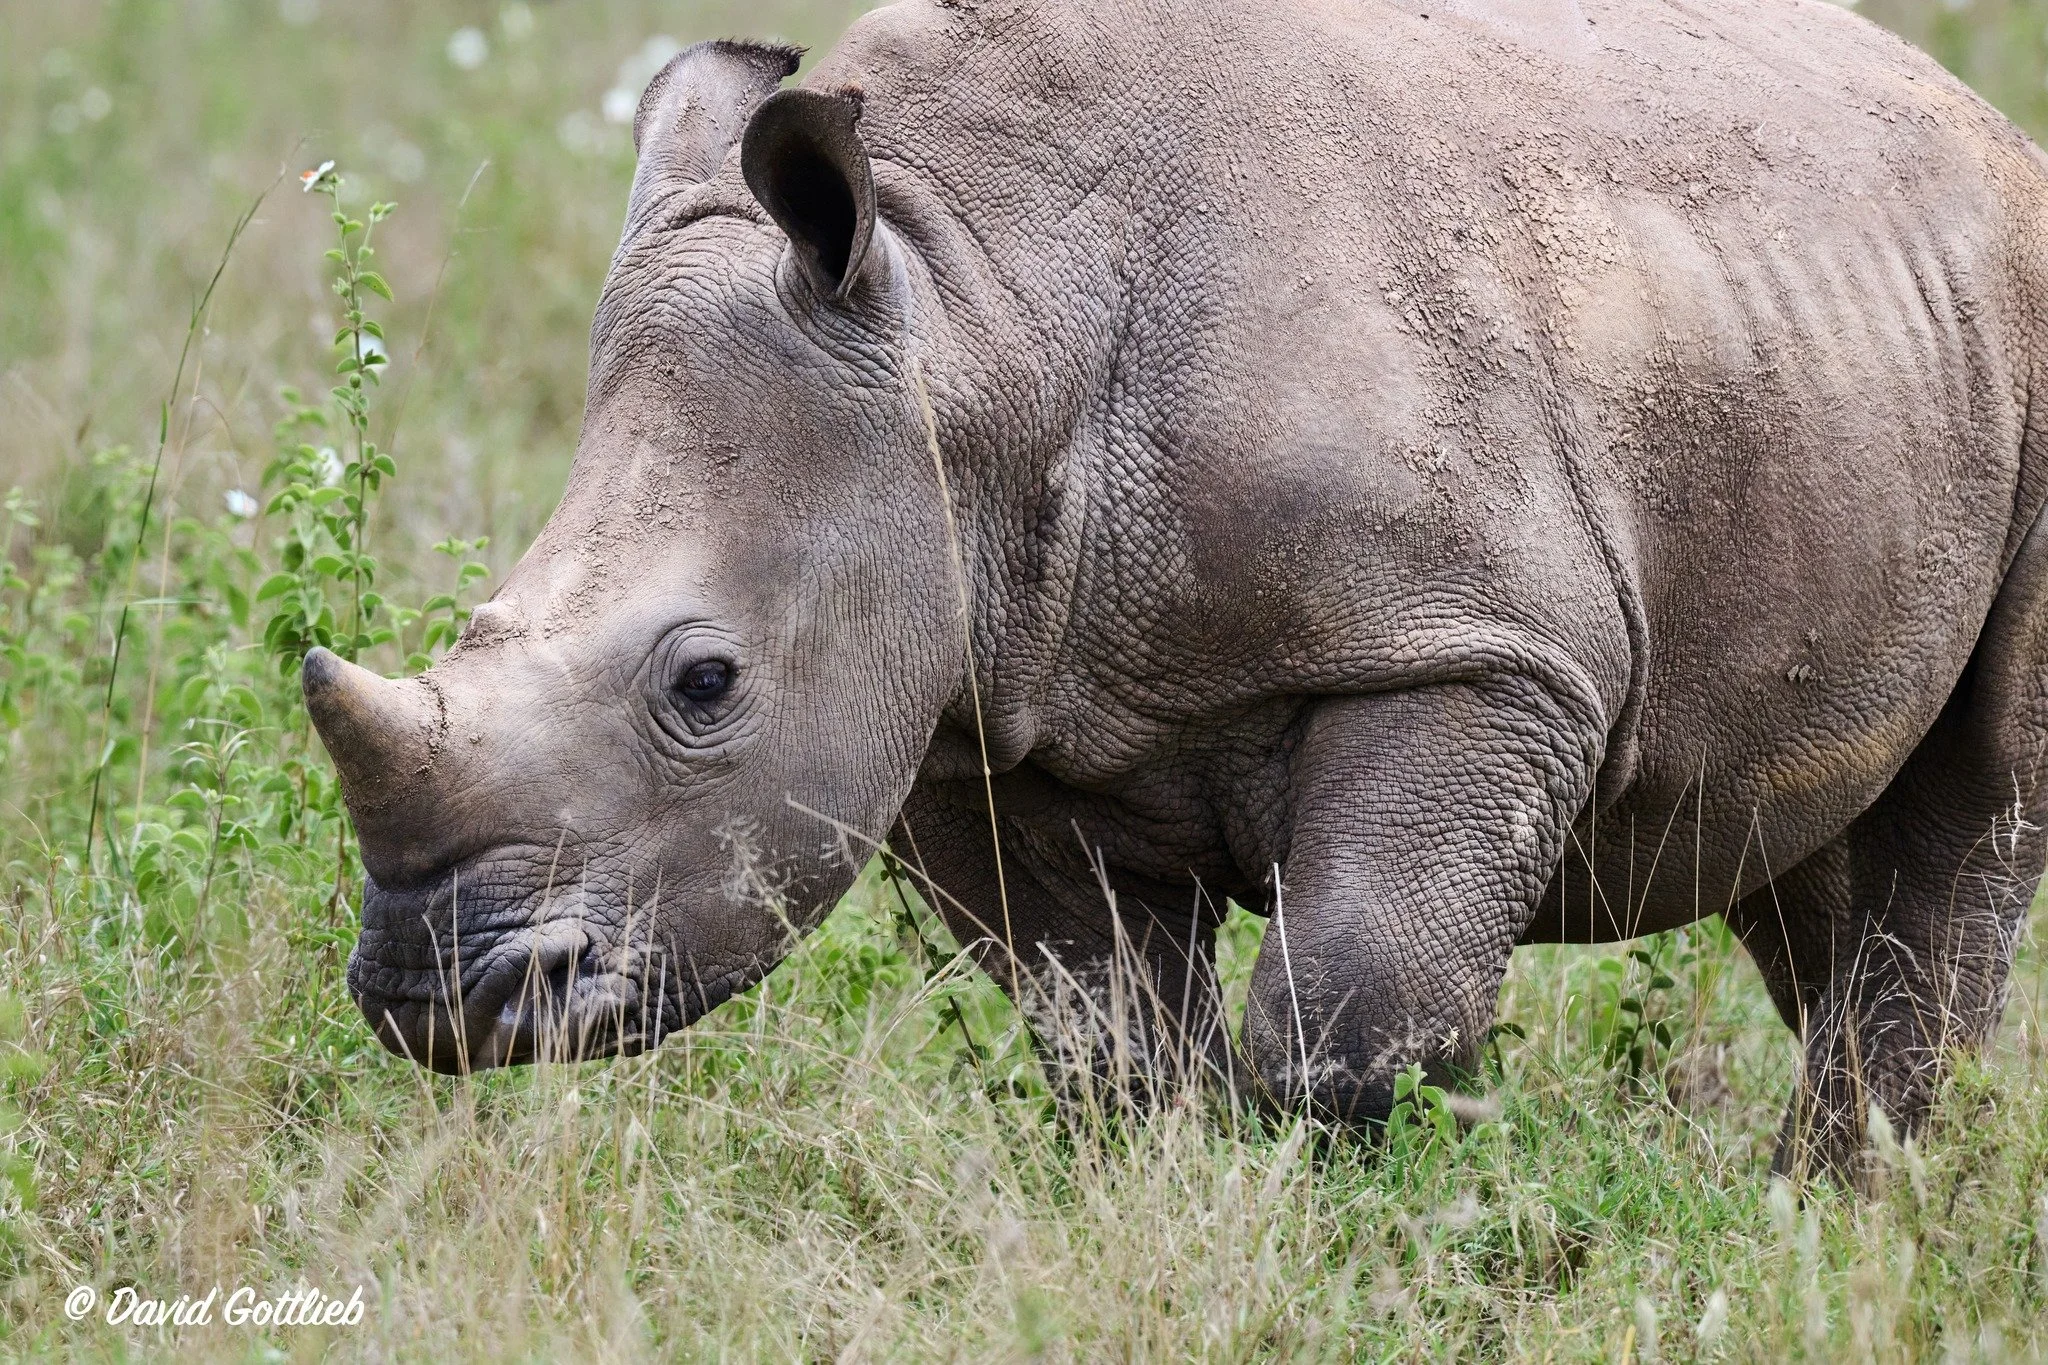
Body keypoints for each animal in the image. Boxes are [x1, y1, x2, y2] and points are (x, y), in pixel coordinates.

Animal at [303, 0, 2048, 1178]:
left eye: (703, 682)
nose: (434, 998)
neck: (973, 315)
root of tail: (1981, 121)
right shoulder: (974, 709)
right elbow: (1105, 1038)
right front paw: (1176, 1198)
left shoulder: (1468, 652)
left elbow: (1353, 1012)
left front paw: (1374, 1212)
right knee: (1805, 839)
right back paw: (1822, 1210)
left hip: (2009, 322)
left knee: (1974, 805)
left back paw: (1846, 1206)